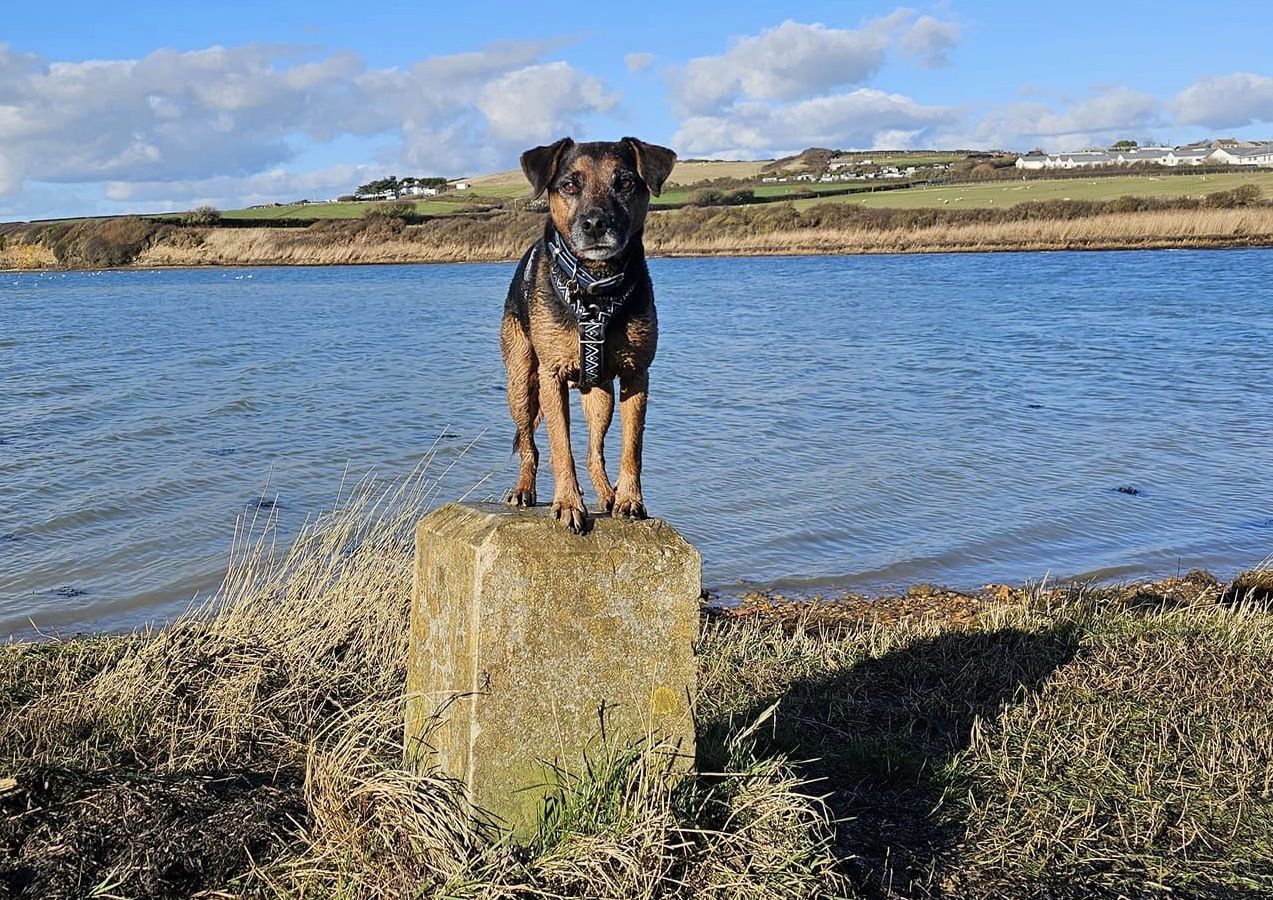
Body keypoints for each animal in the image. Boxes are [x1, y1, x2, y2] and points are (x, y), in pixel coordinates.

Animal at [496, 136, 677, 532]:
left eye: (625, 182)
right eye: (569, 185)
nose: (595, 223)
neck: (596, 286)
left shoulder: (636, 375)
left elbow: (632, 447)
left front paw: (630, 499)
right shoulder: (551, 377)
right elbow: (560, 447)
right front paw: (567, 502)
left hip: (601, 395)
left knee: (595, 451)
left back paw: (608, 494)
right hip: (521, 384)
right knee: (530, 444)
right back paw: (523, 488)